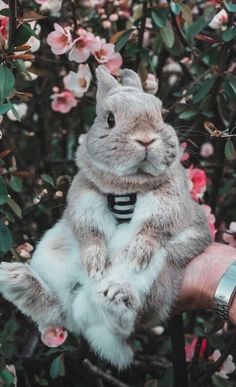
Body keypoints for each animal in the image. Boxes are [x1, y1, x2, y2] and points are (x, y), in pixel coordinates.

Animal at [0, 66, 211, 370]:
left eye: (161, 113)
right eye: (110, 119)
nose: (145, 139)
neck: (128, 187)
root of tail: (84, 310)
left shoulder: (171, 203)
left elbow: (153, 228)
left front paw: (135, 254)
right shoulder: (84, 196)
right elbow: (90, 232)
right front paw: (96, 263)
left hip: (162, 274)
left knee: (127, 322)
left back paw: (116, 297)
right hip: (51, 256)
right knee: (58, 312)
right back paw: (15, 278)